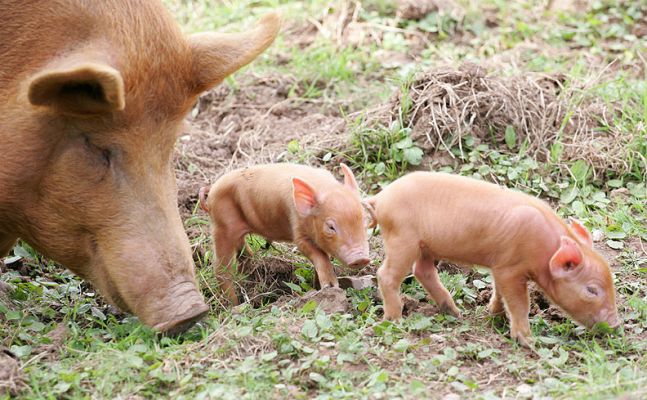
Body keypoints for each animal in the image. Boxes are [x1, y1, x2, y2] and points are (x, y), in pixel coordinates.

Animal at [199, 163, 370, 305]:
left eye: (364, 219)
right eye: (330, 227)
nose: (361, 258)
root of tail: (212, 189)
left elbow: (322, 257)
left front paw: (318, 286)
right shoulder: (297, 229)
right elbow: (316, 254)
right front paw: (330, 287)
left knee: (244, 256)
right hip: (222, 225)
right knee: (221, 270)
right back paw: (235, 306)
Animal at [365, 172, 619, 346]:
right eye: (592, 290)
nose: (616, 324)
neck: (545, 250)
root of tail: (380, 198)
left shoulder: (500, 265)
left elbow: (499, 292)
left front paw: (494, 314)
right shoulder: (510, 268)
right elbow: (520, 303)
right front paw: (527, 341)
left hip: (425, 247)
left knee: (422, 271)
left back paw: (455, 313)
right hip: (402, 240)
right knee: (386, 275)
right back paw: (395, 320)